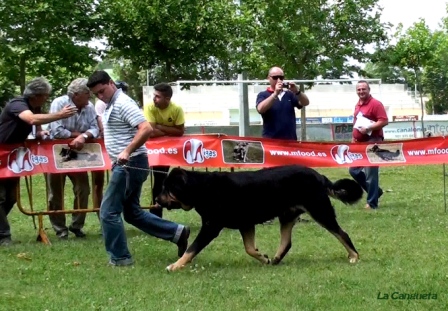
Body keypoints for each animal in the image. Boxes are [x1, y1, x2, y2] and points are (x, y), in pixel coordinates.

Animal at [156, 165, 362, 272]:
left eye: (167, 188)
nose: (157, 199)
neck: (201, 188)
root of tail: (319, 176)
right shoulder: (246, 224)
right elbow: (249, 248)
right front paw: (264, 258)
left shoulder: (211, 226)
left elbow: (191, 249)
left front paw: (175, 265)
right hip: (287, 216)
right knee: (287, 242)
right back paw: (276, 259)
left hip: (320, 210)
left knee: (342, 233)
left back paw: (354, 256)